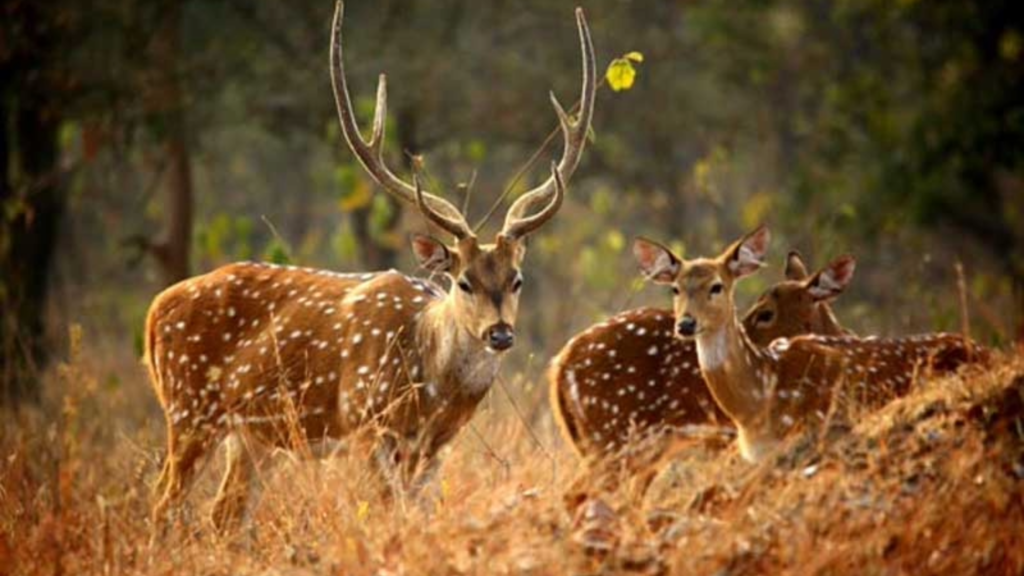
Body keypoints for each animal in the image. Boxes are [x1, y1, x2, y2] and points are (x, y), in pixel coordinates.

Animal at [144, 0, 593, 532]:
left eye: (517, 279)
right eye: (463, 282)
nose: (500, 333)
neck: (432, 392)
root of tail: (155, 310)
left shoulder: (433, 449)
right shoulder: (364, 423)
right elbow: (385, 512)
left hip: (252, 434)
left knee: (222, 513)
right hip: (188, 407)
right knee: (163, 500)